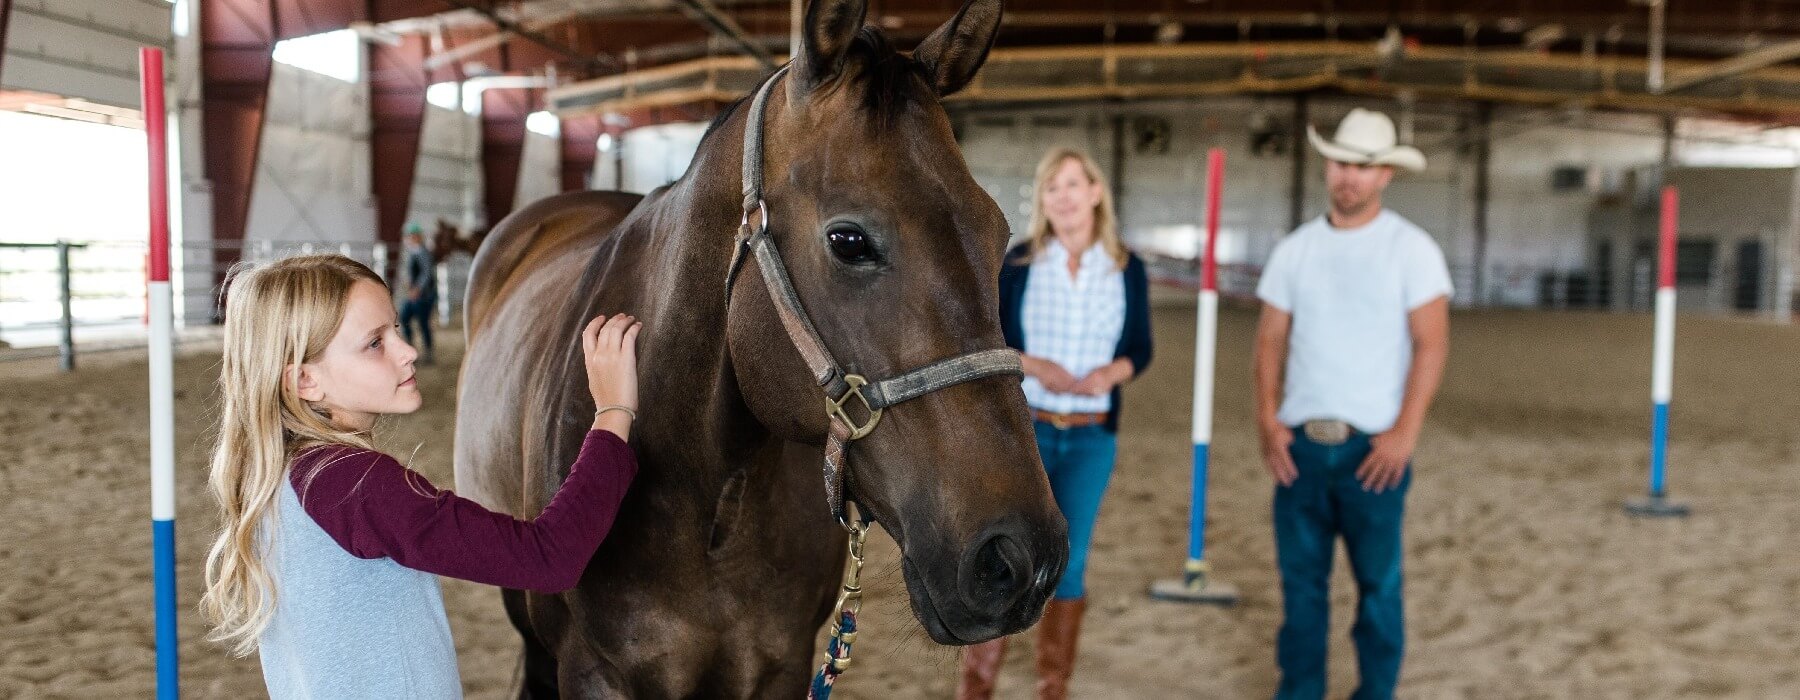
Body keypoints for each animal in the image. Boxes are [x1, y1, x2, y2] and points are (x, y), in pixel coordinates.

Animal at [453, 0, 1065, 691]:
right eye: (848, 240)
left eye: (998, 235)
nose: (1022, 558)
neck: (710, 497)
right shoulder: (592, 671)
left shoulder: (782, 664)